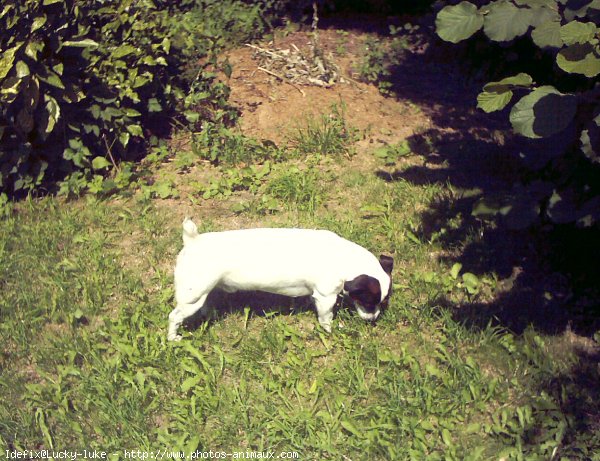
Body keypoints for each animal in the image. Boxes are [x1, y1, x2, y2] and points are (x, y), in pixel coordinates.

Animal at [169, 217, 394, 340]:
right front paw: (330, 330)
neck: (344, 258)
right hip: (191, 298)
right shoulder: (325, 297)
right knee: (174, 317)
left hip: (202, 291)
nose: (373, 320)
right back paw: (173, 338)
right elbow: (326, 318)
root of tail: (192, 241)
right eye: (368, 302)